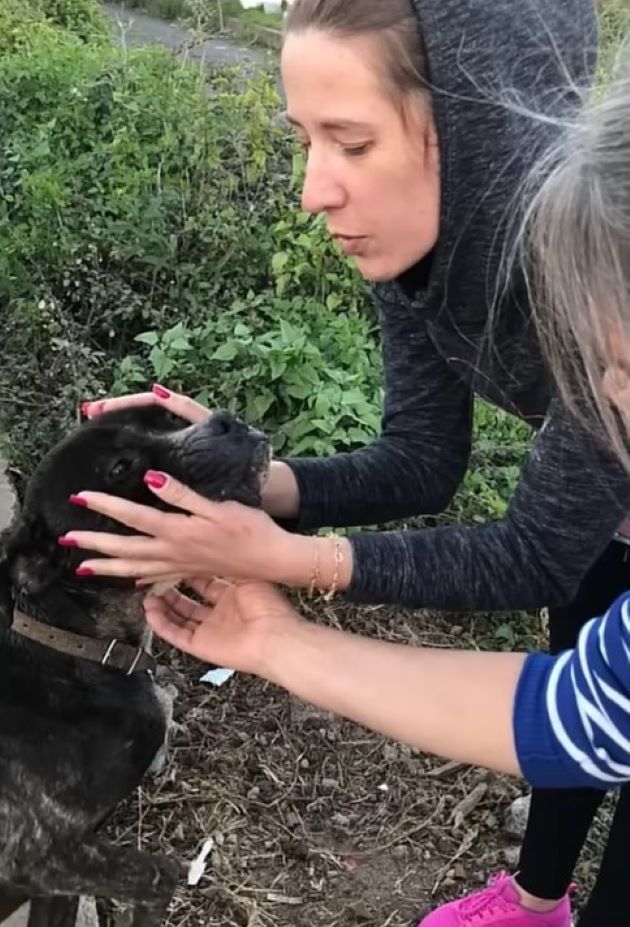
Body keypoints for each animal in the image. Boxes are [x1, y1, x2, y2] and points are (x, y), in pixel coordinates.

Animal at [0, 410, 270, 927]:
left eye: (162, 419)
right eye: (121, 468)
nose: (225, 421)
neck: (74, 646)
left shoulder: (58, 876)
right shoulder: (41, 856)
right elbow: (156, 875)